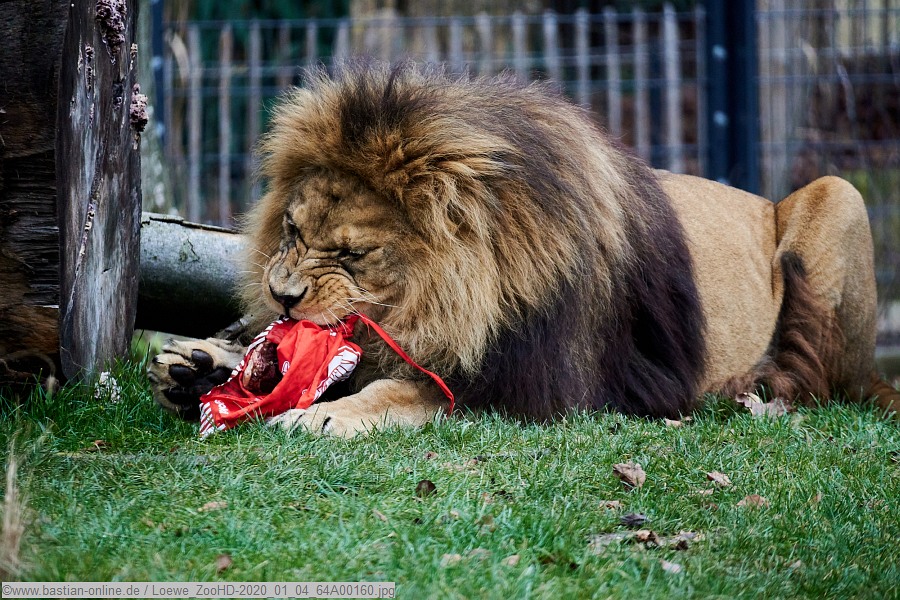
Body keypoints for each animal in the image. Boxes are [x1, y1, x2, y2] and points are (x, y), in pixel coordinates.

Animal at [148, 62, 899, 436]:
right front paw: (196, 367)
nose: (281, 296)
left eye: (354, 255)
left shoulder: (544, 384)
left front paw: (332, 413)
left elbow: (415, 389)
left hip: (839, 195)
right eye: (293, 233)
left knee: (825, 380)